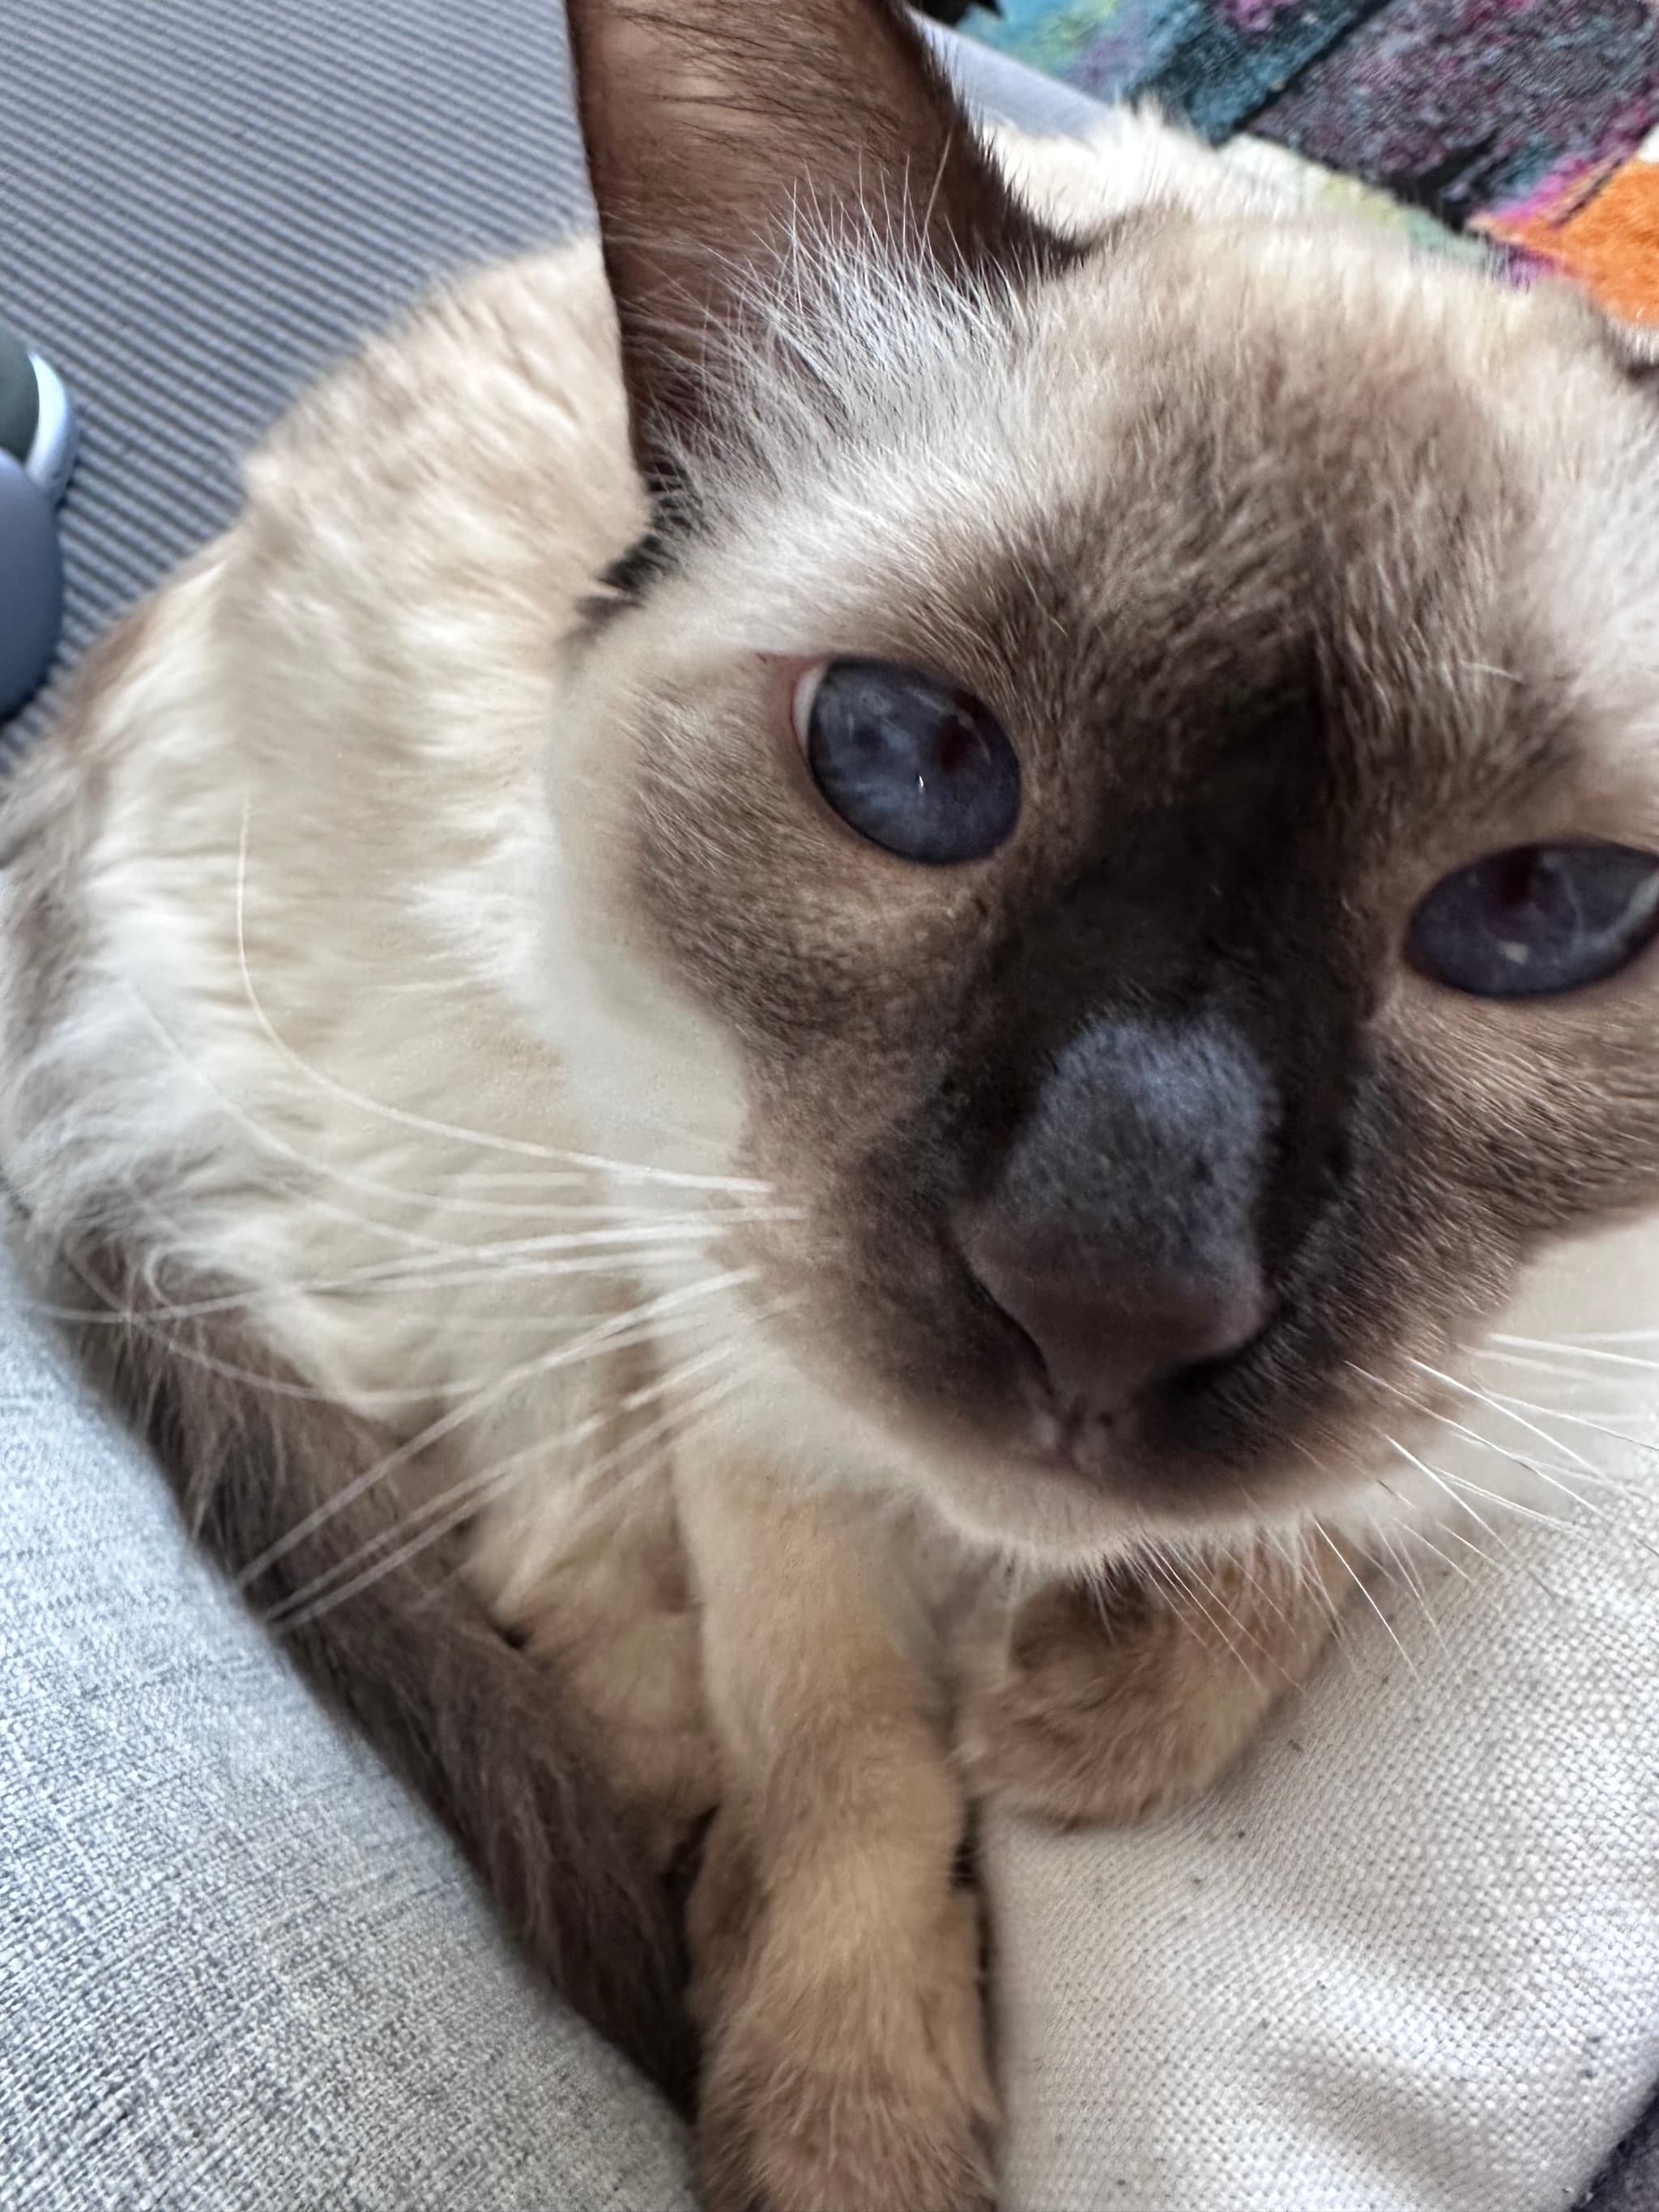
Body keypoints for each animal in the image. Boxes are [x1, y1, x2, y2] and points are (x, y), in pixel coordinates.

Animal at [3, 4, 1659, 2212]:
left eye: (1540, 912)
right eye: (904, 760)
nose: (1099, 1296)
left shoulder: (1564, 1353)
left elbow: (1346, 1488)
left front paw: (1091, 1721)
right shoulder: (746, 1355)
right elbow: (843, 1765)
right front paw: (838, 2127)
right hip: (553, 1186)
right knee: (565, 1616)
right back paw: (690, 1921)